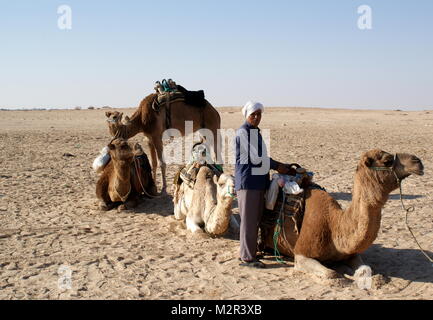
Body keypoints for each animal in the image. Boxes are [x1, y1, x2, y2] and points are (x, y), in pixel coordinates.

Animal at [260, 149, 422, 282]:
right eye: (387, 160)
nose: (417, 161)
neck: (334, 225)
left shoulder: (351, 253)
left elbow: (365, 270)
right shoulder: (301, 254)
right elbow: (332, 274)